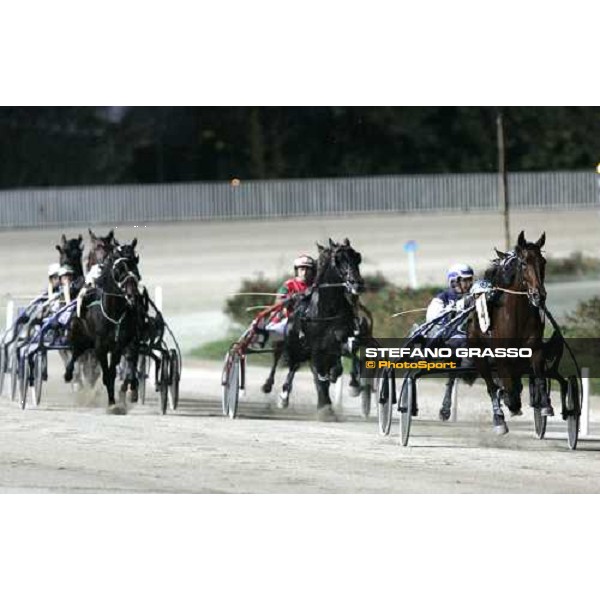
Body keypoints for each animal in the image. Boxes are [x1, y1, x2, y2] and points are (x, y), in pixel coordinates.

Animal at [64, 241, 143, 410]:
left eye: (135, 267)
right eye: (119, 270)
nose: (132, 295)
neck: (113, 314)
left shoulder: (119, 345)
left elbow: (114, 371)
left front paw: (116, 400)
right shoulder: (100, 347)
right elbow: (107, 375)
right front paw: (112, 403)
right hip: (79, 336)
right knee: (75, 354)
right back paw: (69, 375)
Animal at [282, 237, 364, 420]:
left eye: (357, 257)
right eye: (337, 260)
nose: (357, 284)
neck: (328, 310)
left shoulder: (342, 340)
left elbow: (341, 365)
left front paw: (352, 385)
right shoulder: (315, 348)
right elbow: (319, 376)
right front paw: (325, 407)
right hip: (297, 348)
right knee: (294, 367)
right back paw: (285, 397)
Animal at [468, 232, 552, 434]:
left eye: (543, 261)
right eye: (523, 263)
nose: (539, 295)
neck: (517, 315)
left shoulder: (534, 348)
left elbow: (539, 376)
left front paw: (545, 405)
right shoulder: (501, 354)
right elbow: (506, 386)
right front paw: (510, 403)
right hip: (478, 352)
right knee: (491, 386)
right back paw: (500, 417)